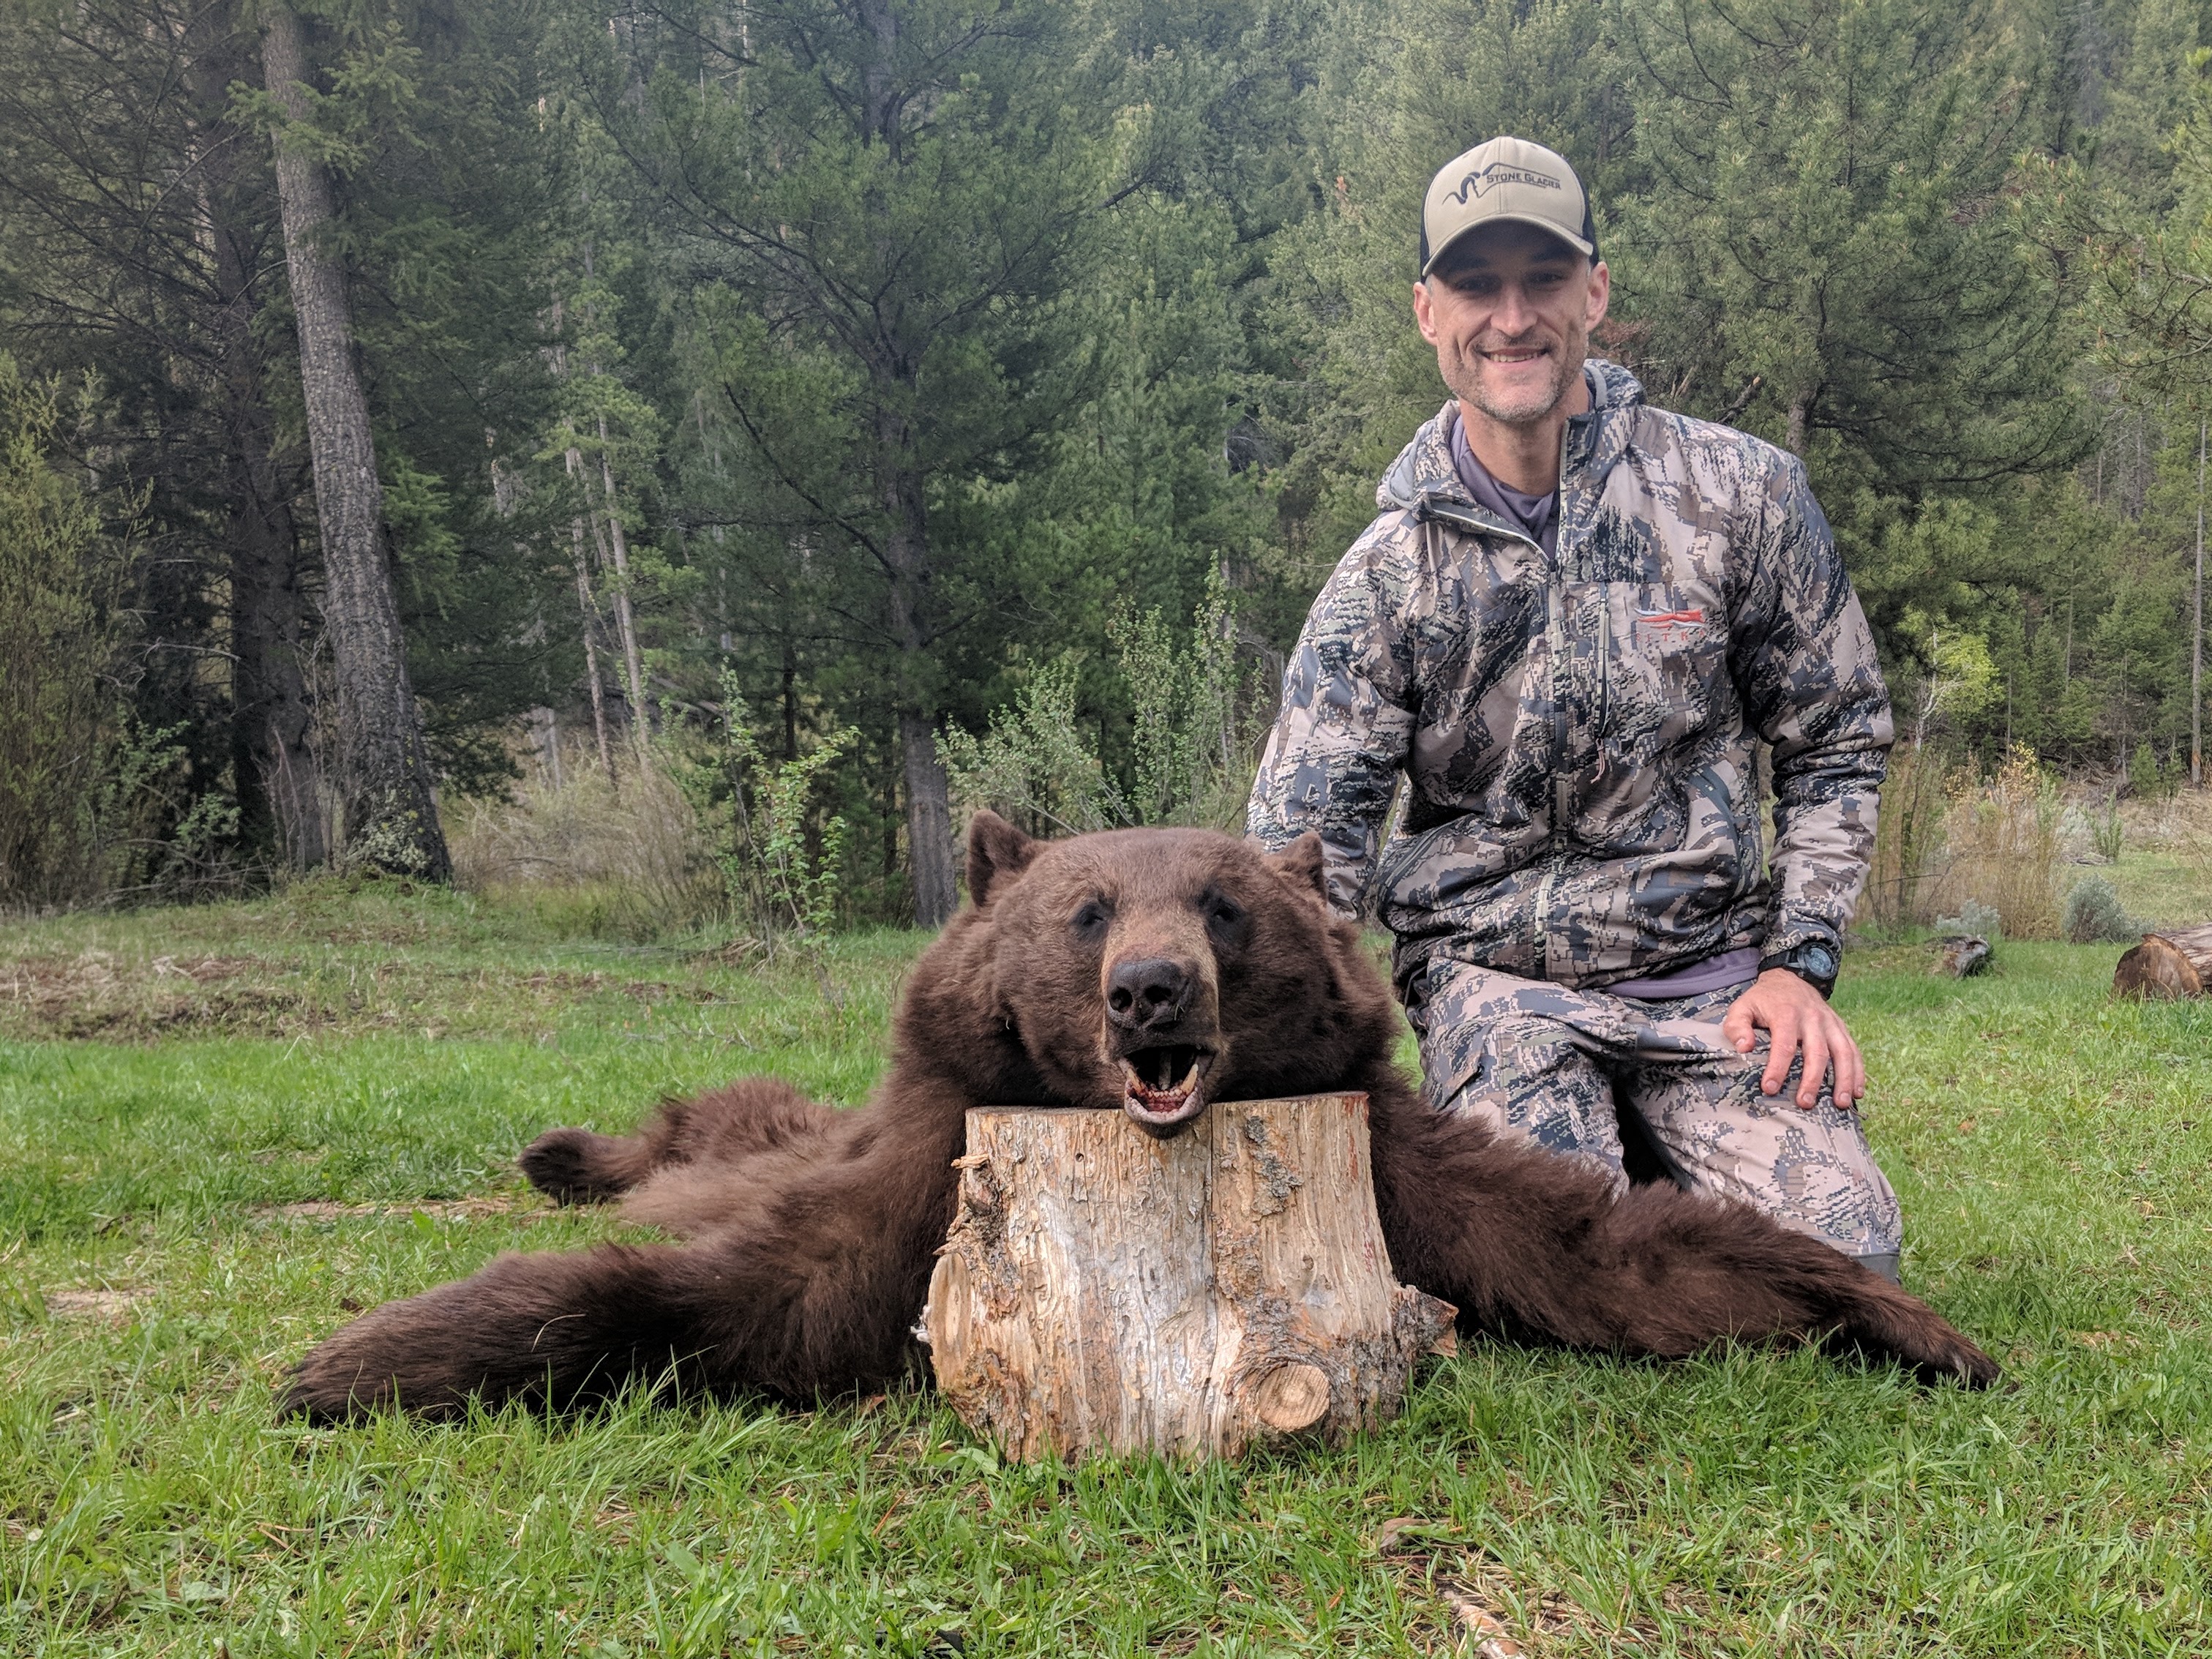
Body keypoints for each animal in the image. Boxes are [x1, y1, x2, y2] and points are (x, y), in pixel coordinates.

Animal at [281, 814, 1997, 1421]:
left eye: (1225, 907)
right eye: (1087, 907)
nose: (1151, 992)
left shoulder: (1397, 1168)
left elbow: (1606, 1247)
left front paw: (1903, 1321)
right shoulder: (919, 1169)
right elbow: (745, 1296)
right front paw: (358, 1357)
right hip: (758, 1130)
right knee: (701, 1125)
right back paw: (562, 1152)